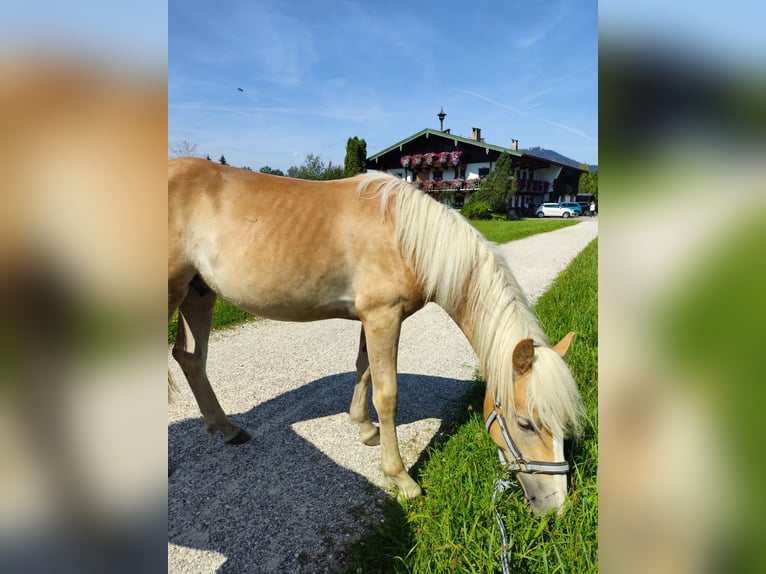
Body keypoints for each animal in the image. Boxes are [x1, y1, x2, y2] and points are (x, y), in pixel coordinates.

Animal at [168, 159, 584, 516]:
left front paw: (365, 429)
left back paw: (226, 428)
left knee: (191, 358)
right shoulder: (383, 317)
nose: (556, 507)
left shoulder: (370, 318)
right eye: (525, 423)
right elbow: (387, 394)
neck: (405, 236)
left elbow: (364, 369)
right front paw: (402, 478)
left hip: (198, 293)